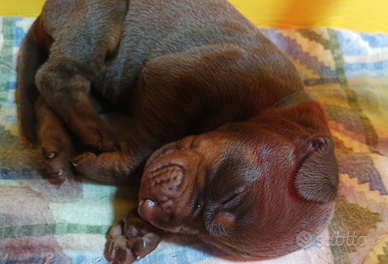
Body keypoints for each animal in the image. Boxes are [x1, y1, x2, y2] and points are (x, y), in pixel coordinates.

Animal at [16, 0, 338, 262]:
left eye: (202, 236)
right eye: (231, 194)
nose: (153, 209)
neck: (266, 101)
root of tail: (42, 15)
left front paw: (138, 229)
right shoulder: (173, 80)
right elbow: (140, 158)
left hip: (104, 89)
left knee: (46, 99)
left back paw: (58, 148)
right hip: (102, 17)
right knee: (56, 76)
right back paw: (93, 131)